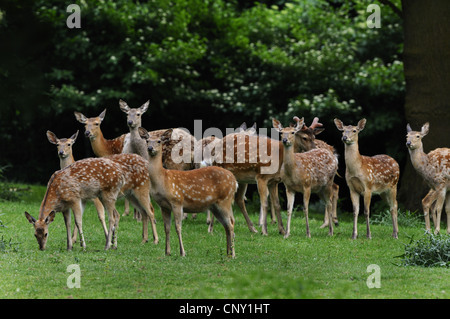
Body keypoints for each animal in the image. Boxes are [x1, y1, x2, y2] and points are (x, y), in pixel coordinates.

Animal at [25, 154, 158, 251]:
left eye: (46, 234)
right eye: (35, 234)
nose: (41, 248)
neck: (56, 192)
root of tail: (122, 175)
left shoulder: (75, 198)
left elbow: (78, 221)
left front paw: (83, 246)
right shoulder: (65, 206)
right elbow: (67, 224)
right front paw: (69, 246)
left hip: (115, 193)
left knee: (116, 217)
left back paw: (108, 246)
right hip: (119, 195)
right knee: (121, 214)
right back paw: (115, 245)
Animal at [139, 127, 237, 258]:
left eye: (159, 141)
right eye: (147, 140)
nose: (150, 148)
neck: (162, 180)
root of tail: (234, 181)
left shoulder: (177, 201)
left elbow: (178, 227)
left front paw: (182, 252)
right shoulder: (163, 206)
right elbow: (166, 228)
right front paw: (167, 252)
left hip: (225, 200)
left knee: (230, 223)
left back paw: (233, 254)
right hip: (215, 206)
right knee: (226, 224)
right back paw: (227, 252)